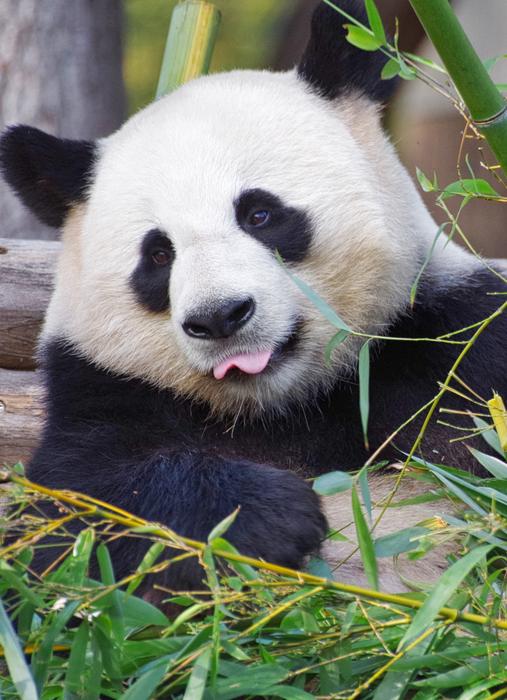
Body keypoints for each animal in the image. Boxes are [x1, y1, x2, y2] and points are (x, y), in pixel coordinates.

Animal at [1, 0, 506, 594]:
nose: (220, 317)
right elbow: (70, 526)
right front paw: (273, 511)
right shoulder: (105, 393)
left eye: (259, 214)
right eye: (158, 254)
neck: (282, 407)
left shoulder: (452, 344)